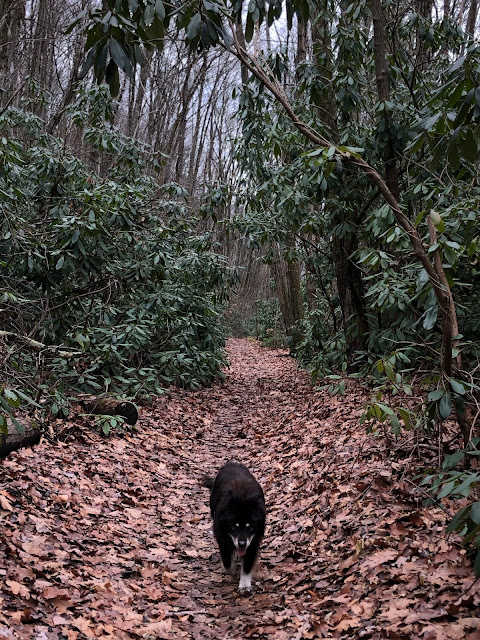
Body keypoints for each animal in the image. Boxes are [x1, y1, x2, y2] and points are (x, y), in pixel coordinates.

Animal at [202, 462, 266, 592]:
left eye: (251, 527)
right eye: (233, 526)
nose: (242, 544)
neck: (242, 497)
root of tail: (232, 463)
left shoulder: (253, 542)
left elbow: (247, 565)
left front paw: (244, 584)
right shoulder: (221, 536)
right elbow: (227, 562)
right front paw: (232, 568)